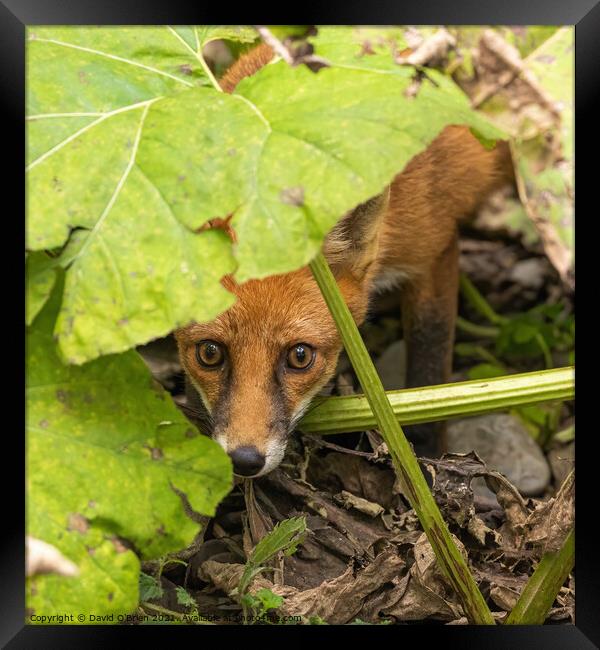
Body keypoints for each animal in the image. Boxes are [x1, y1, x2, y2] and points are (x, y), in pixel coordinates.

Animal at [172, 41, 510, 476]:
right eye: (209, 353)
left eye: (300, 356)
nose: (244, 461)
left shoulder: (434, 251)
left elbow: (429, 361)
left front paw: (428, 457)